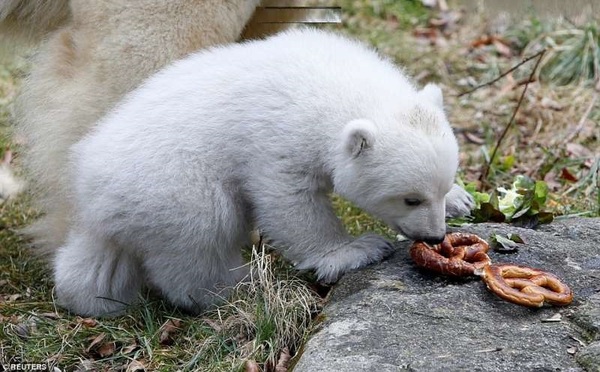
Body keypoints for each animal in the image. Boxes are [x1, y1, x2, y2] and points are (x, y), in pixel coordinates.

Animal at [56, 27, 476, 316]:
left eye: (440, 188)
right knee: (202, 231)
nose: (436, 237)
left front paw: (463, 200)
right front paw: (356, 251)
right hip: (168, 180)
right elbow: (289, 201)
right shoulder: (278, 136)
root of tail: (88, 193)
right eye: (410, 199)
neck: (330, 79)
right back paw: (239, 285)